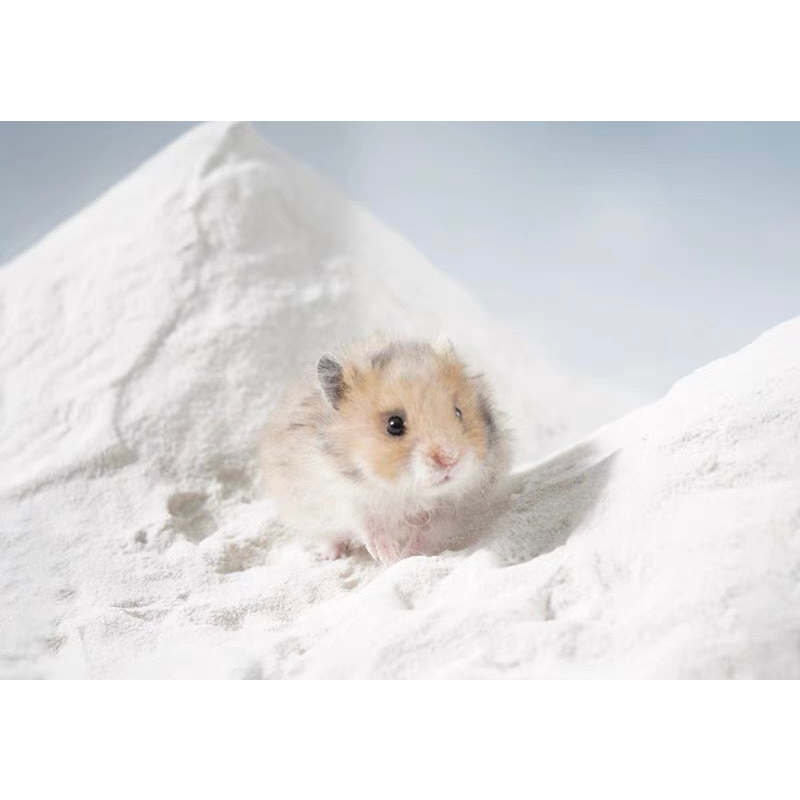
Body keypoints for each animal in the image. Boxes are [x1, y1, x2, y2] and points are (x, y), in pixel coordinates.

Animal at [261, 335, 511, 564]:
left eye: (458, 412)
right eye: (394, 424)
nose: (450, 459)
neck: (402, 492)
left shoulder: (452, 507)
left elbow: (426, 531)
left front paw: (404, 557)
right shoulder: (340, 496)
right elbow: (368, 523)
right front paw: (387, 556)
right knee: (330, 537)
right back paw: (328, 556)